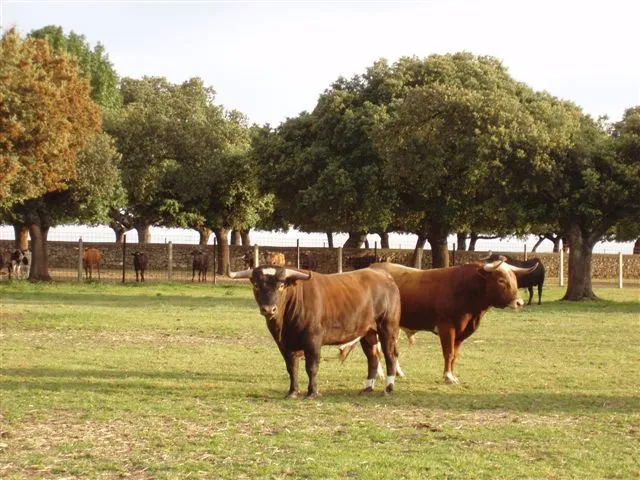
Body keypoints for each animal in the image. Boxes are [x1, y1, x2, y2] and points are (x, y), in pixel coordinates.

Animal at [229, 266, 400, 398]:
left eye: (281, 286)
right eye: (256, 285)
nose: (269, 309)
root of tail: (385, 277)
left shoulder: (313, 341)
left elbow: (311, 367)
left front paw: (312, 392)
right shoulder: (284, 344)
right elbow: (292, 367)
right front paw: (292, 392)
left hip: (388, 329)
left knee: (390, 356)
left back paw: (388, 388)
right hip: (367, 333)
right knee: (372, 358)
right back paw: (367, 388)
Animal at [370, 260, 536, 384]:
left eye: (514, 280)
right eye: (501, 280)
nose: (519, 302)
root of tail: (372, 268)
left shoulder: (462, 332)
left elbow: (455, 355)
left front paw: (453, 374)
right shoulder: (447, 328)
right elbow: (448, 353)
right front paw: (448, 377)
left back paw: (398, 372)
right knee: (377, 348)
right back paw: (379, 373)